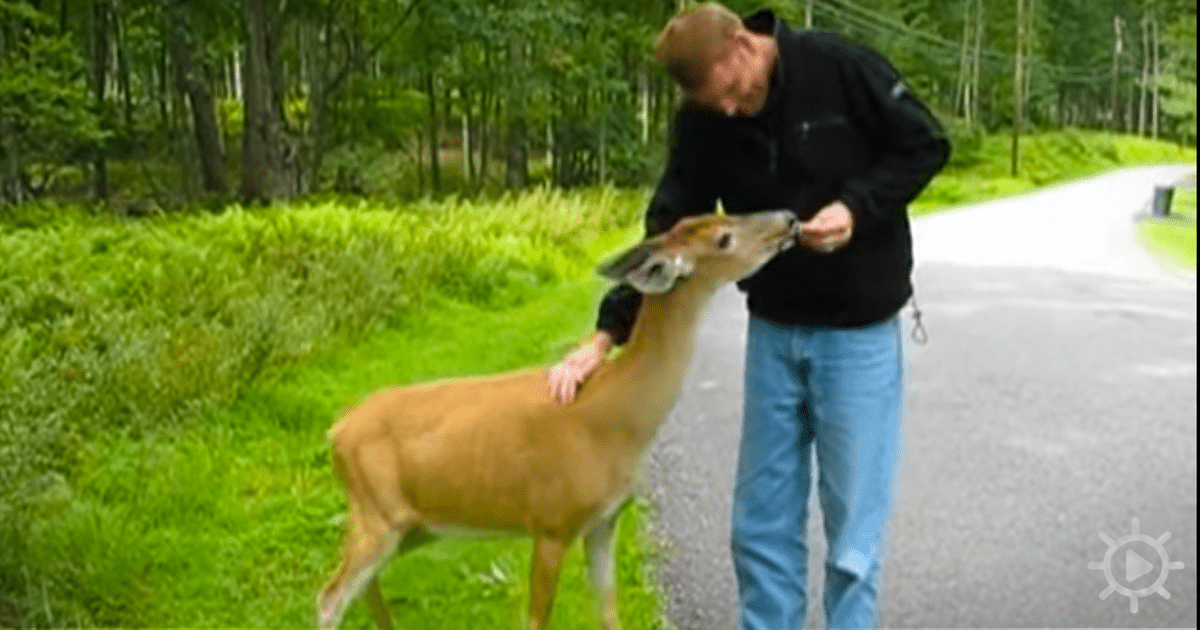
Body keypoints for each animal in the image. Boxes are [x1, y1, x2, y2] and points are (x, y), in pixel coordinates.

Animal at [316, 208, 800, 630]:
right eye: (723, 238)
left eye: (723, 215)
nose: (790, 218)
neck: (619, 417)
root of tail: (335, 431)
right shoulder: (551, 520)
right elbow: (536, 620)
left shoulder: (605, 520)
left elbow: (609, 612)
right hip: (377, 513)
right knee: (329, 596)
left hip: (410, 525)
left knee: (361, 584)